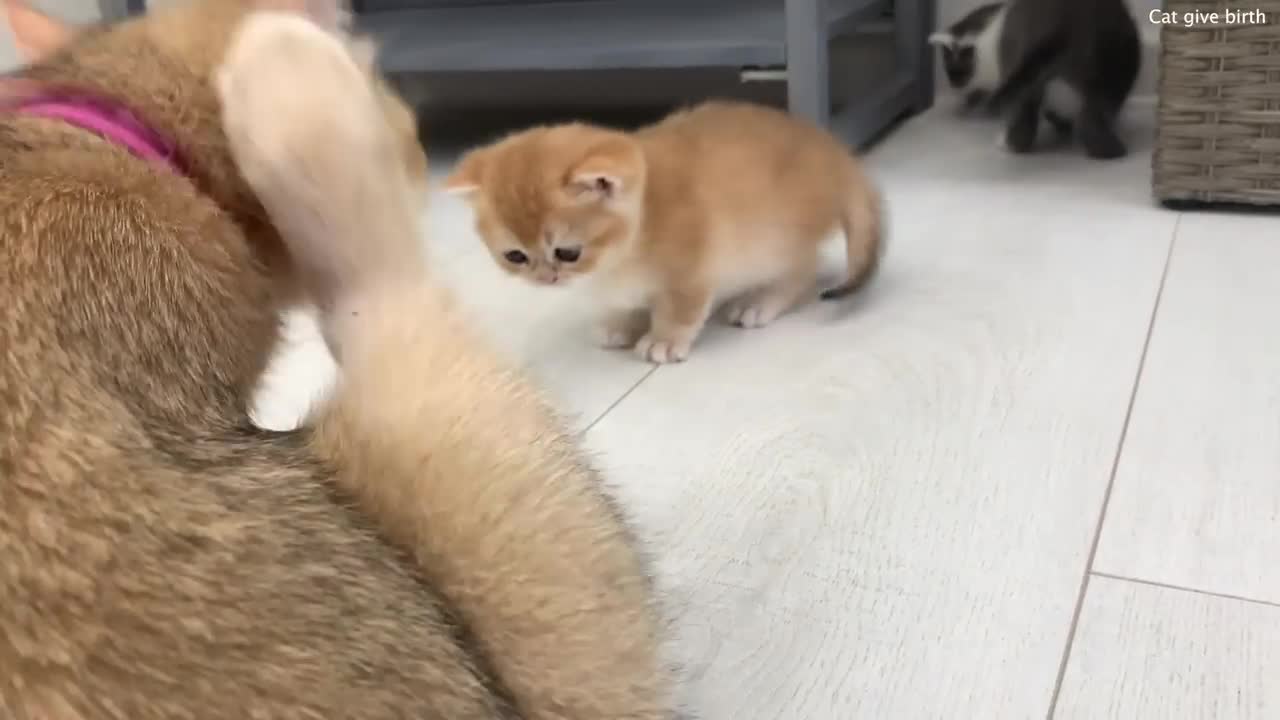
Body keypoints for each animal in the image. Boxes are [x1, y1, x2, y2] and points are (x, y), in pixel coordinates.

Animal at [445, 98, 885, 361]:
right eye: (515, 256)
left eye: (567, 252)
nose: (545, 278)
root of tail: (835, 153)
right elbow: (626, 304)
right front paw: (623, 323)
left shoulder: (692, 272)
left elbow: (678, 309)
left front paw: (664, 339)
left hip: (775, 241)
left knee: (802, 272)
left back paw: (760, 301)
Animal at [931, 0, 1141, 159]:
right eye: (950, 73)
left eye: (957, 73)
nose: (953, 86)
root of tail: (1064, 21)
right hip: (1111, 69)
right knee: (1095, 112)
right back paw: (1110, 150)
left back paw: (1008, 144)